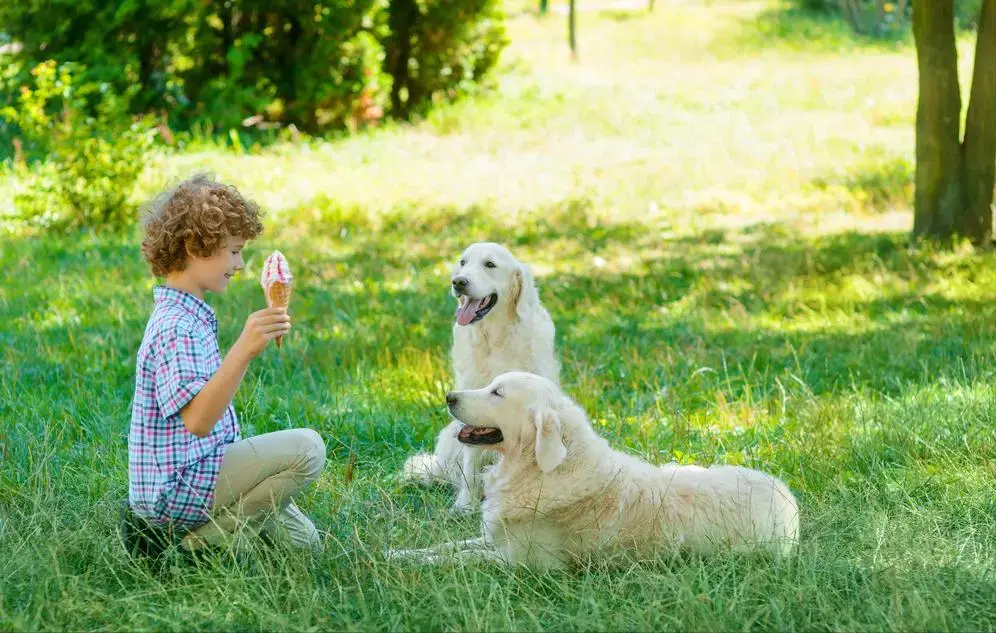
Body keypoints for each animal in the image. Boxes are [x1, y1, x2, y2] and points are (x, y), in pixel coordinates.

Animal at [390, 370, 800, 568]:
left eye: (497, 393)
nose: (449, 396)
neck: (541, 470)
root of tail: (789, 500)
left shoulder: (520, 563)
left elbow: (458, 558)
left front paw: (413, 566)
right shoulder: (495, 539)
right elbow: (448, 545)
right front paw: (399, 554)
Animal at [402, 242, 560, 512]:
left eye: (489, 265)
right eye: (463, 263)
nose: (458, 282)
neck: (495, 339)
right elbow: (471, 460)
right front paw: (466, 505)